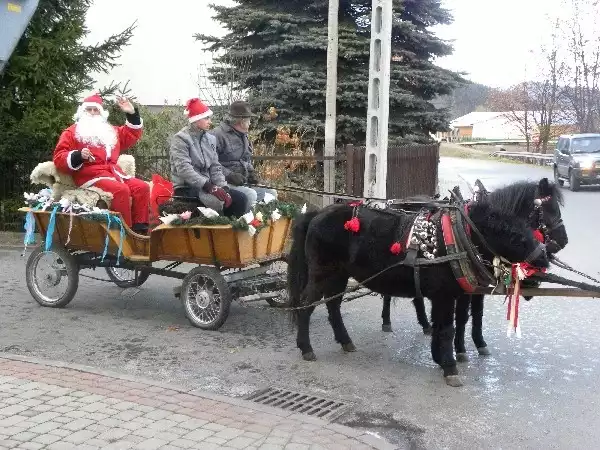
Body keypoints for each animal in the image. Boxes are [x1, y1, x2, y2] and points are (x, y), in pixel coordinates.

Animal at [288, 192, 552, 384]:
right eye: (516, 237)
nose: (544, 261)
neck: (454, 237)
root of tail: (317, 214)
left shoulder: (443, 296)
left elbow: (442, 325)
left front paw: (440, 358)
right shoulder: (445, 295)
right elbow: (447, 329)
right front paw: (450, 367)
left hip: (339, 274)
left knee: (332, 304)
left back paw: (345, 341)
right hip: (322, 272)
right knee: (307, 304)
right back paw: (306, 348)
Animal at [380, 177, 568, 362]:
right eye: (548, 208)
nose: (563, 241)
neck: (472, 230)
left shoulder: (479, 285)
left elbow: (478, 313)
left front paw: (480, 343)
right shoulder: (465, 286)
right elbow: (462, 316)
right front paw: (460, 349)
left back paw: (426, 324)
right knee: (388, 292)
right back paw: (387, 321)